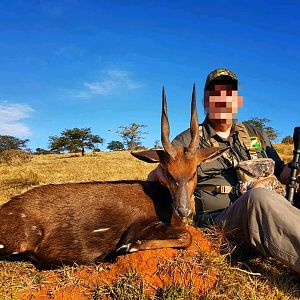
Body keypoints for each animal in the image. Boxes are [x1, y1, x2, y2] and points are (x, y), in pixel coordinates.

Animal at [0, 85, 221, 266]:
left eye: (193, 172)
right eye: (168, 172)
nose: (183, 210)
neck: (163, 200)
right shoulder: (138, 227)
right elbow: (186, 236)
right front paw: (128, 247)